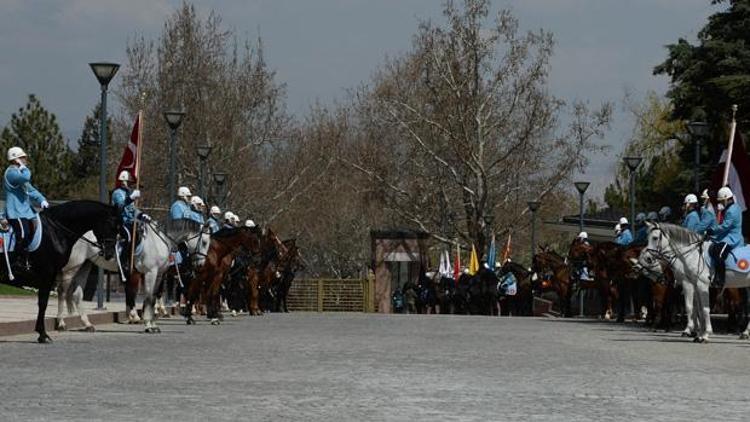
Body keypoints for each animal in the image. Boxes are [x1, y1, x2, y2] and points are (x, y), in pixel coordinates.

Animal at [0, 200, 120, 342]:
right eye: (110, 225)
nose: (110, 253)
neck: (55, 232)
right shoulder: (47, 274)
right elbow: (43, 302)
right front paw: (43, 334)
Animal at [55, 221, 210, 332]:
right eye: (204, 242)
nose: (201, 264)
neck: (159, 241)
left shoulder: (159, 275)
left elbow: (153, 297)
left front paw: (153, 323)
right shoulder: (150, 273)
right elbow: (148, 297)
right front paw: (148, 324)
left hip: (85, 265)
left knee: (77, 294)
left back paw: (87, 324)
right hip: (72, 266)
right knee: (62, 291)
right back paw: (61, 323)